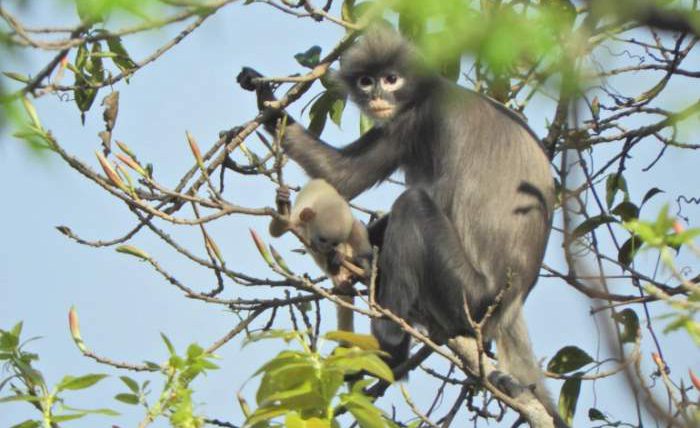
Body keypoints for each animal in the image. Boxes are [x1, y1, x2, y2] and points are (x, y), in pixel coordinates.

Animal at [269, 178, 372, 332]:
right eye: (322, 239)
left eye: (334, 242)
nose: (327, 248)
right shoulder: (300, 217)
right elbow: (277, 230)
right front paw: (282, 202)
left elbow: (359, 235)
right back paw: (336, 271)